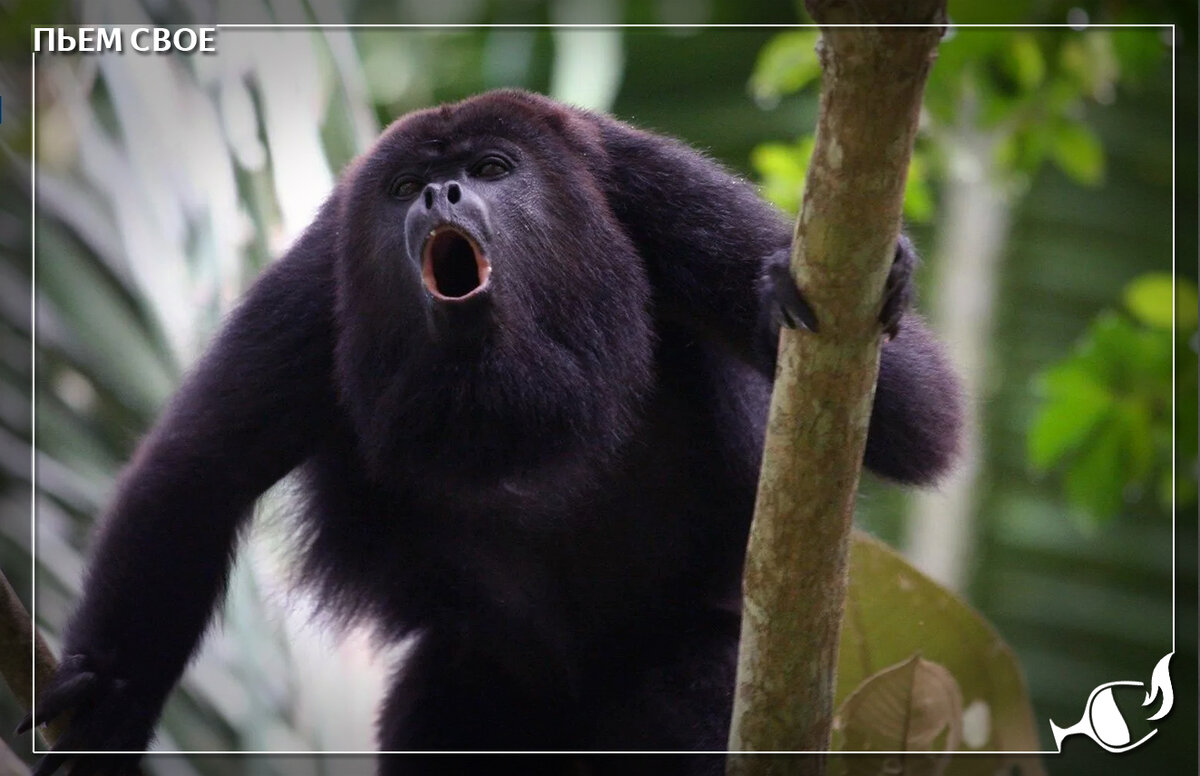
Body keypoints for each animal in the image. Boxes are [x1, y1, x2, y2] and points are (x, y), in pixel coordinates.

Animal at [25, 89, 964, 772]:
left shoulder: (656, 190)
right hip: (481, 675)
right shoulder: (320, 280)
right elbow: (198, 472)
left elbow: (921, 420)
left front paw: (791, 294)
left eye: (491, 168)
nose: (441, 192)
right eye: (405, 187)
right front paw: (111, 700)